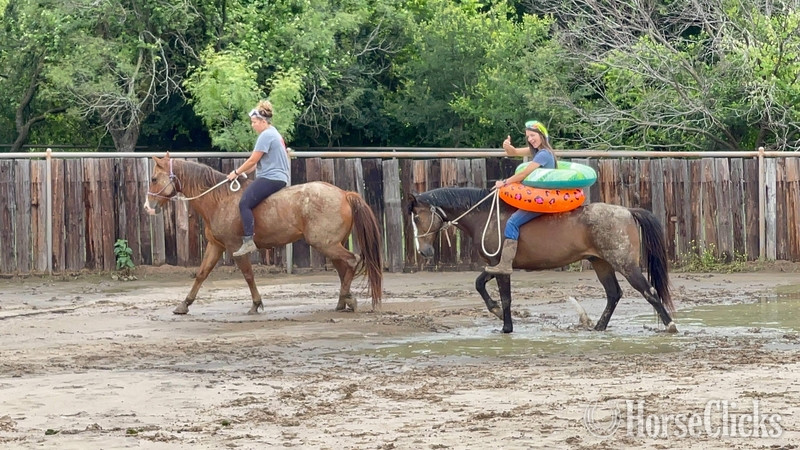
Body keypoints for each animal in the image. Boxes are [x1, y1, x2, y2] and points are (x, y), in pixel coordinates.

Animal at [144, 154, 383, 315]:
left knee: (352, 261)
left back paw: (347, 299)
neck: (220, 199)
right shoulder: (216, 246)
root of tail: (344, 194)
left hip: (325, 244)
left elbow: (248, 275)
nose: (148, 206)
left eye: (154, 178)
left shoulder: (235, 247)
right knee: (344, 269)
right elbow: (202, 274)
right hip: (332, 244)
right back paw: (344, 300)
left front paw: (256, 303)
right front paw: (184, 304)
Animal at [407, 187, 676, 334]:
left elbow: (505, 297)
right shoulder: (495, 265)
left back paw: (671, 325)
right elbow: (479, 283)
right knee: (613, 294)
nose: (424, 251)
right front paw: (496, 312)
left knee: (649, 292)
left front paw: (506, 326)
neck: (487, 215)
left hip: (625, 264)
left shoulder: (502, 267)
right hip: (601, 263)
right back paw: (599, 327)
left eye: (417, 218)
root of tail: (627, 211)